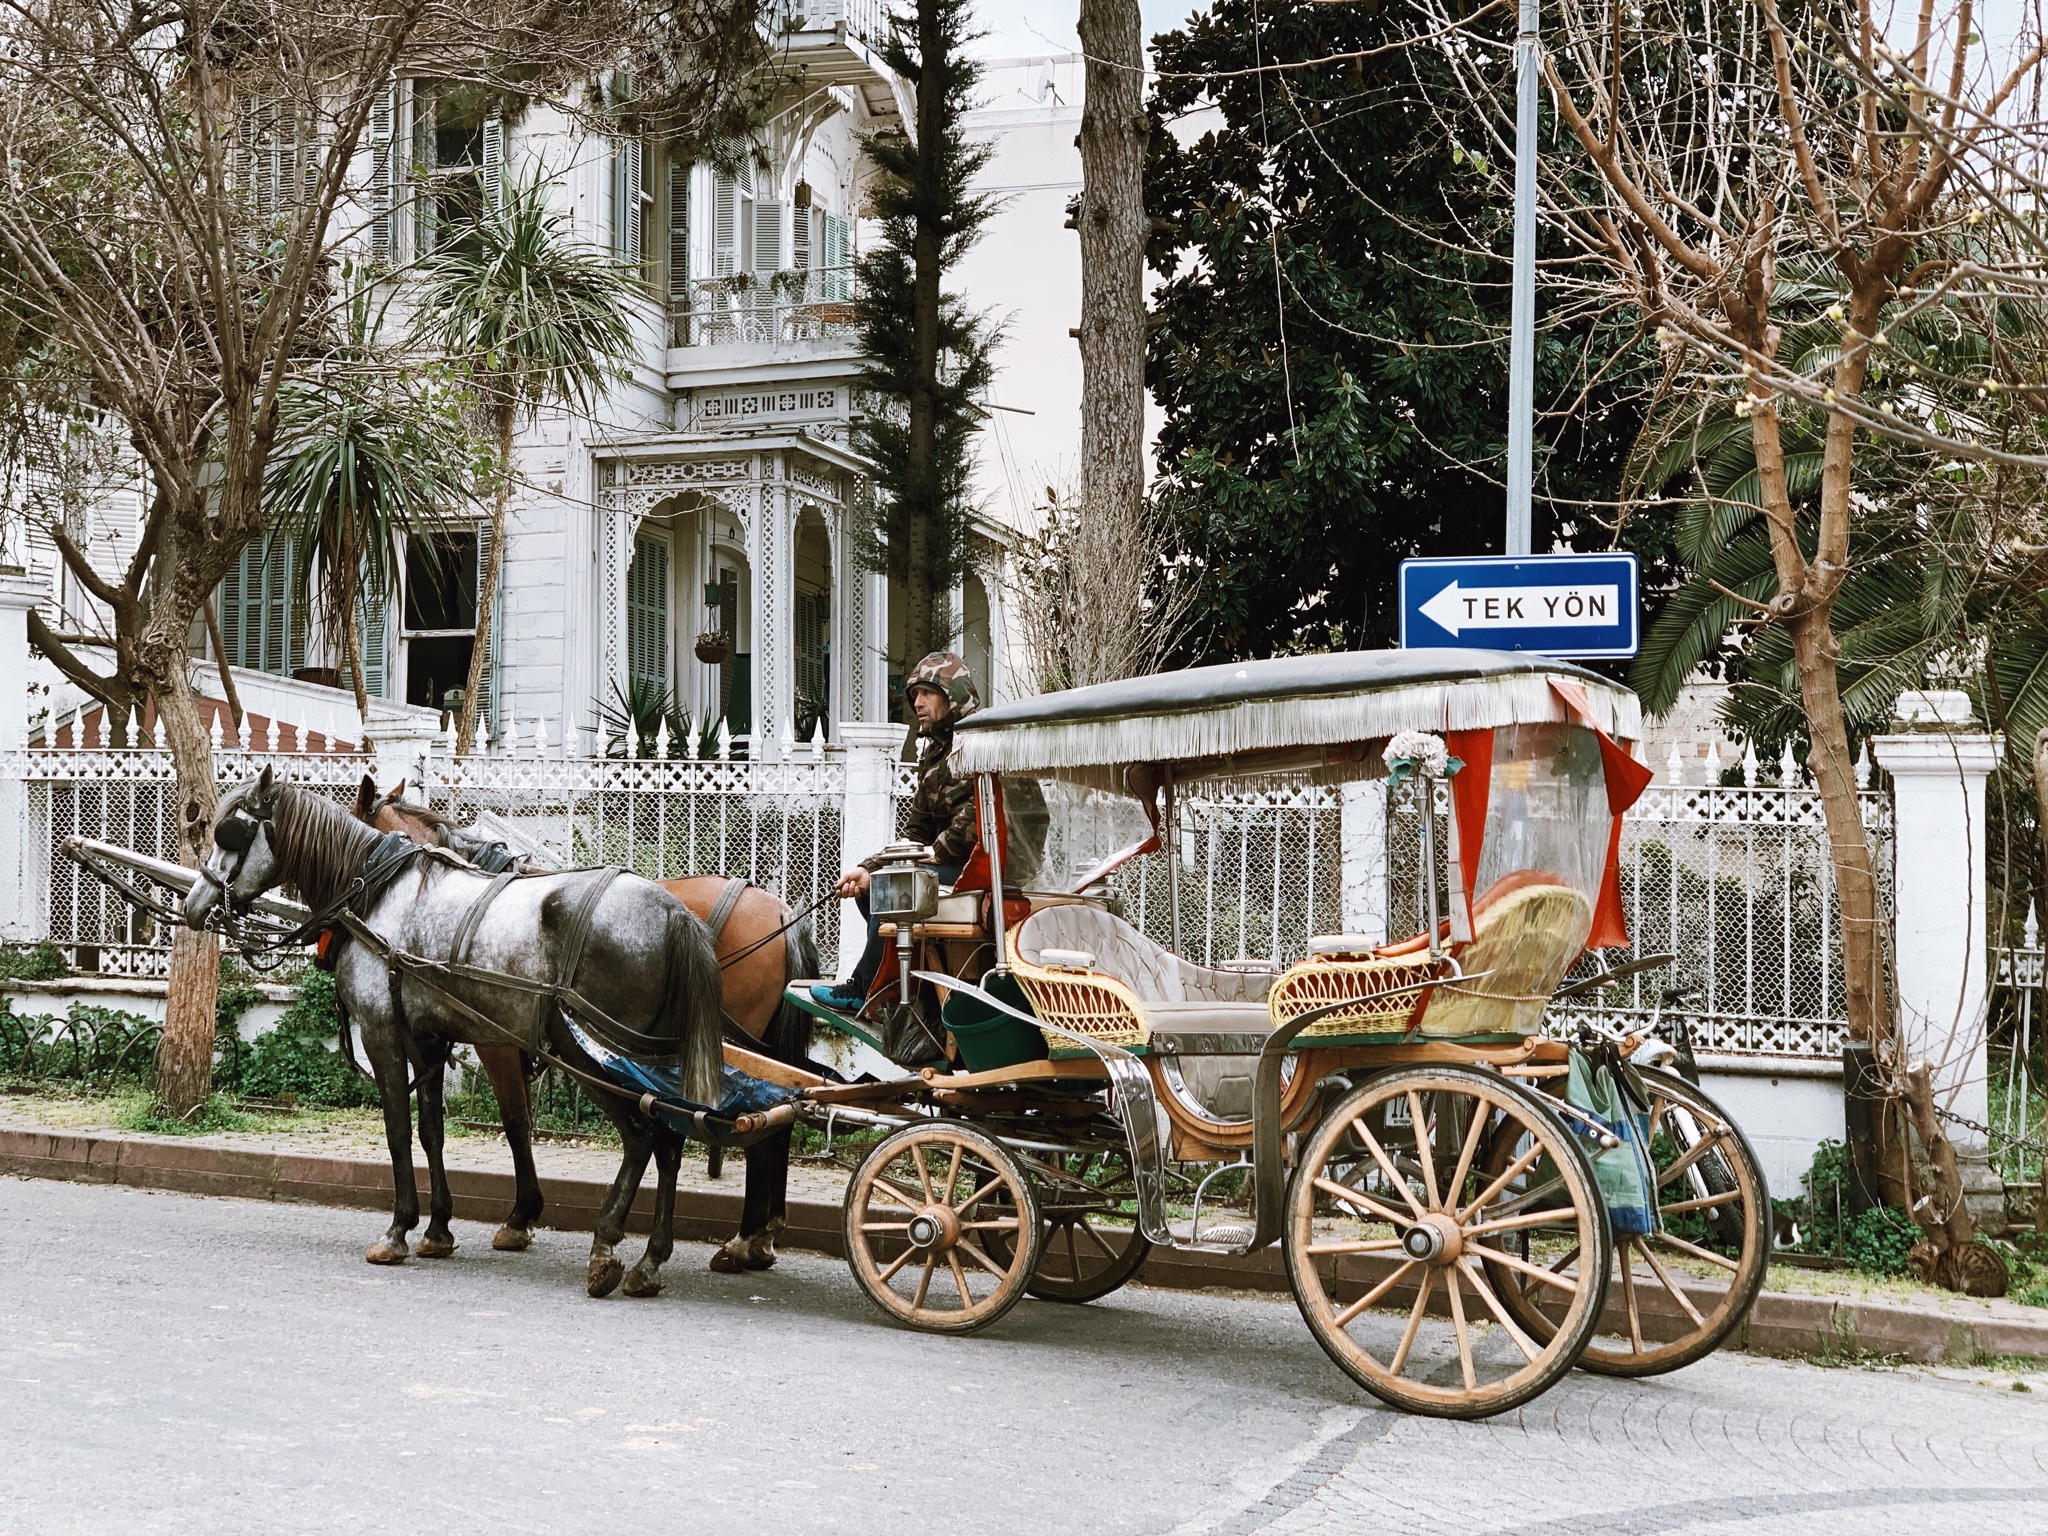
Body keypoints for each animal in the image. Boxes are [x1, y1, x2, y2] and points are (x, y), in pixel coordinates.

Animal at [184, 770, 724, 1302]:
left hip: (591, 1052)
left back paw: (607, 1246)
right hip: (651, 1059)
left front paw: (399, 1230)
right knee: (669, 1141)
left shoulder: (384, 1032)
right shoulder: (428, 1038)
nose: (194, 905)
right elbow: (432, 1131)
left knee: (641, 1137)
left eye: (231, 834)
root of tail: (674, 913)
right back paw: (650, 1261)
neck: (376, 893)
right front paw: (438, 1229)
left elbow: (400, 1132)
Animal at [352, 782, 815, 1277]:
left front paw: (520, 1216)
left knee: (755, 1135)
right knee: (776, 1124)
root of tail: (781, 912)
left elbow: (516, 1122)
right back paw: (759, 1236)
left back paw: (743, 1239)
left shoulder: (495, 1040)